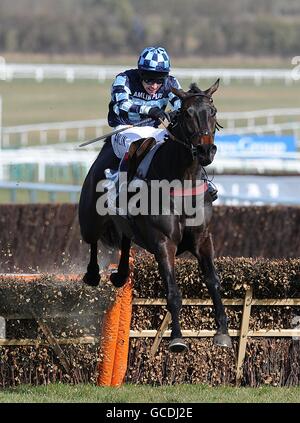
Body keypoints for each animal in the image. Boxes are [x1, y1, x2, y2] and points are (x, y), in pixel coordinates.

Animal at [78, 79, 231, 352]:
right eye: (187, 114)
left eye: (213, 112)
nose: (205, 150)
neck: (181, 180)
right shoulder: (163, 243)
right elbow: (173, 293)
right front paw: (177, 339)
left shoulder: (203, 238)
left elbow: (213, 281)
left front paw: (222, 331)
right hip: (90, 219)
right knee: (93, 241)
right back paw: (94, 274)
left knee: (125, 240)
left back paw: (121, 275)